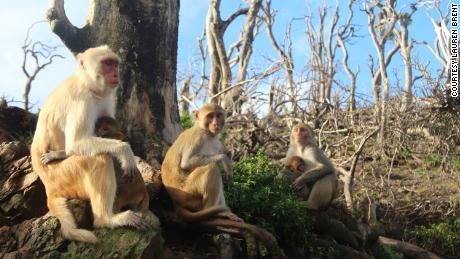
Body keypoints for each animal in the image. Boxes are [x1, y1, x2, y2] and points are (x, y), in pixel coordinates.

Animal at [30, 45, 148, 244]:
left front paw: (59, 153)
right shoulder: (81, 98)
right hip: (62, 177)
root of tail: (48, 187)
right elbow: (76, 143)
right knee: (99, 158)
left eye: (115, 64)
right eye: (107, 64)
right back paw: (106, 219)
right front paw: (125, 151)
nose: (116, 74)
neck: (87, 84)